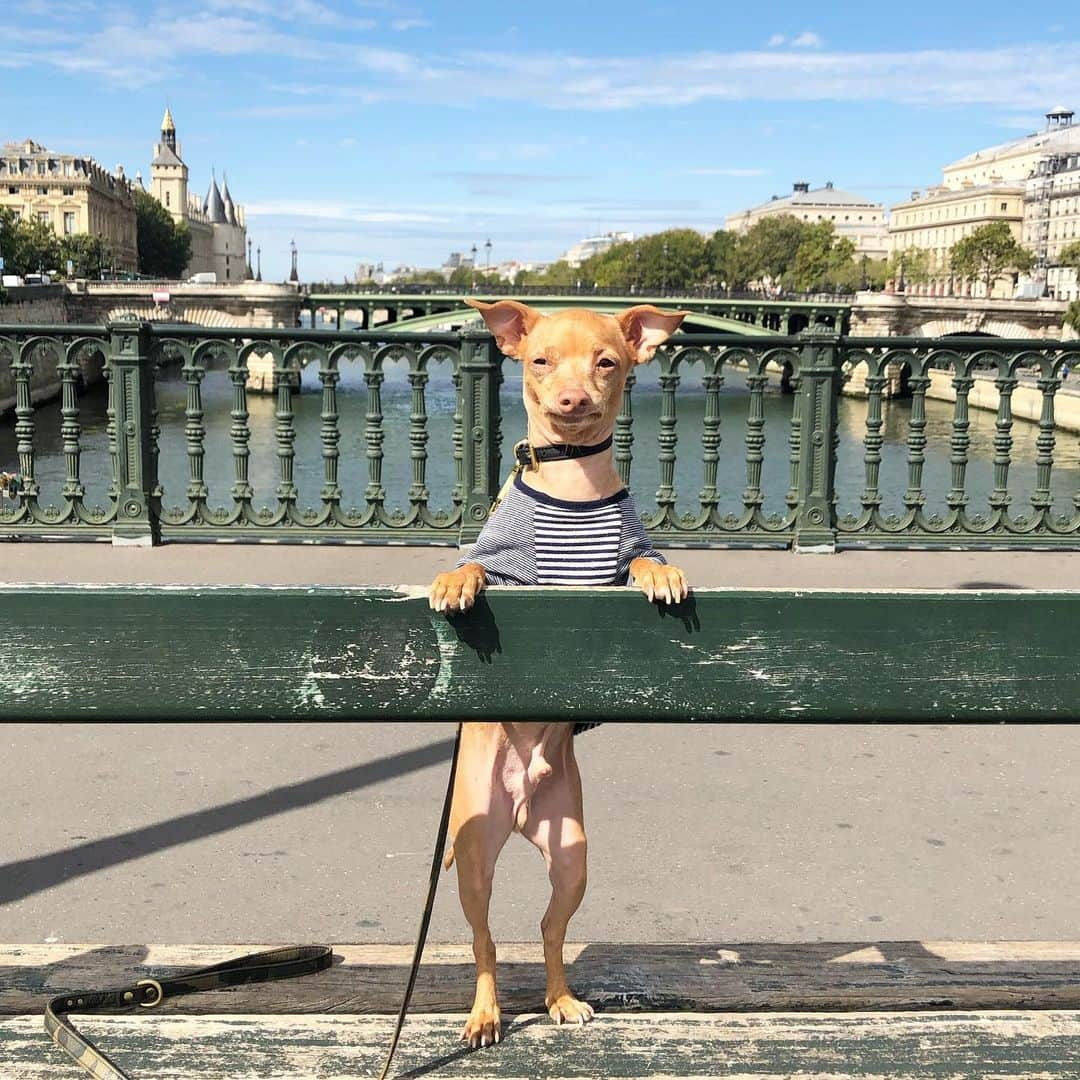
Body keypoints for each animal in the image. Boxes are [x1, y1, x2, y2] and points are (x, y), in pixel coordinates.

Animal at [425, 300, 686, 1049]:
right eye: (539, 362)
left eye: (607, 362)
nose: (570, 399)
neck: (573, 487)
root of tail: (518, 810)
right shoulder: (508, 567)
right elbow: (478, 564)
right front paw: (455, 580)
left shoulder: (615, 561)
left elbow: (641, 558)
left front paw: (664, 573)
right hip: (473, 856)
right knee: (484, 941)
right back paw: (484, 1014)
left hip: (571, 854)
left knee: (548, 930)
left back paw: (561, 998)